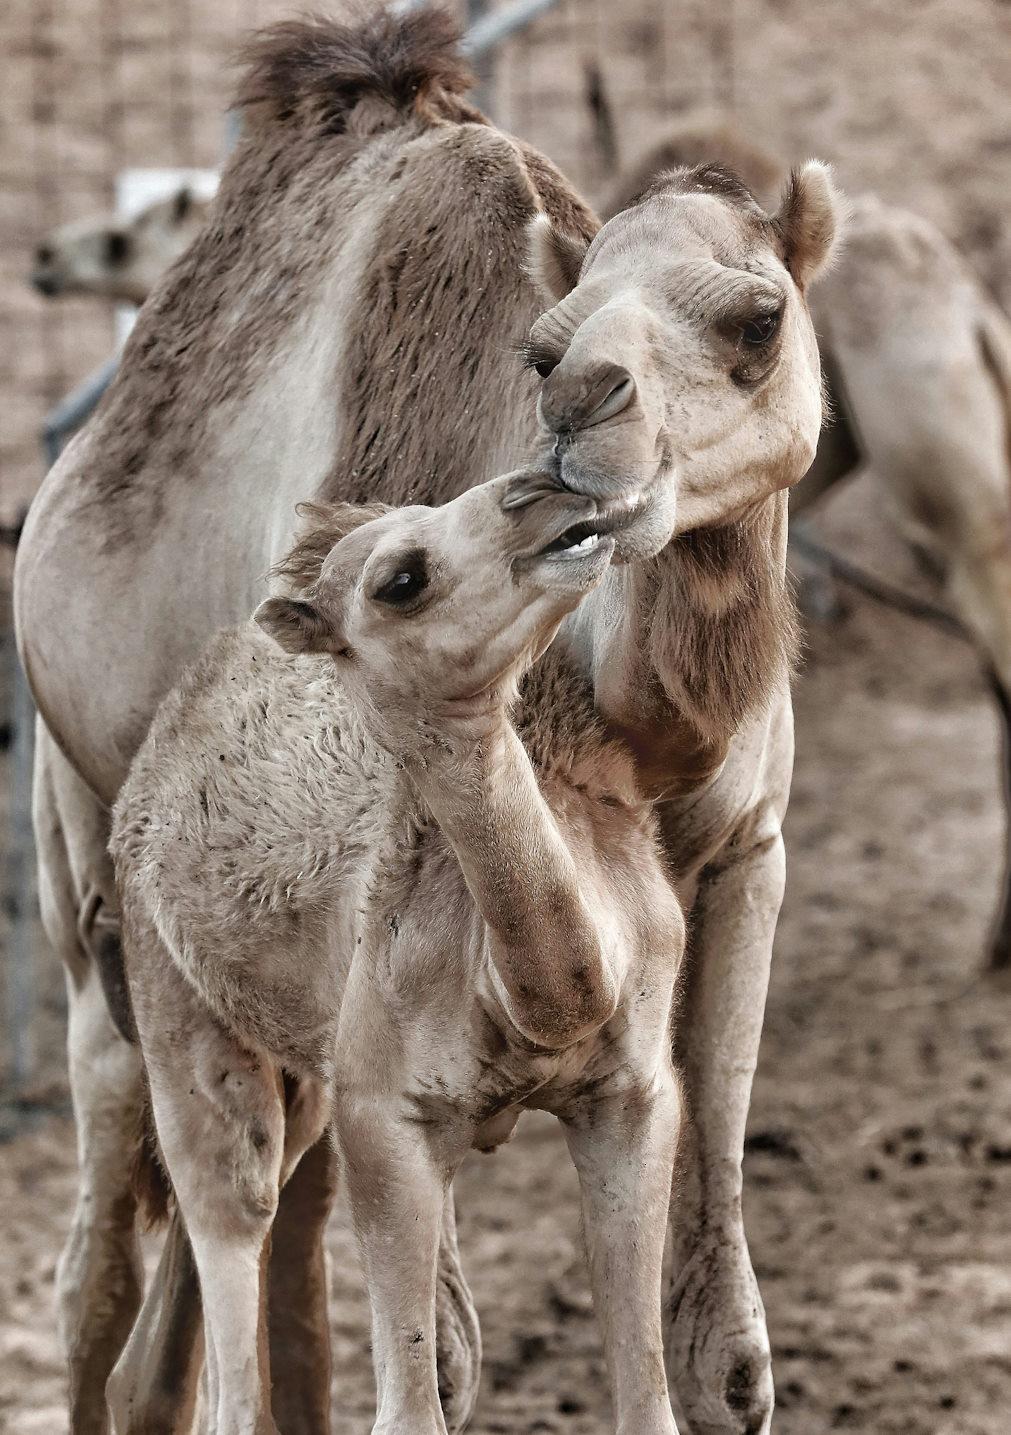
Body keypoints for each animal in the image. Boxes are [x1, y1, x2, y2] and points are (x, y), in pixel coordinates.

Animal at [112, 473, 685, 1435]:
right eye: (400, 580)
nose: (540, 489)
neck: (538, 994)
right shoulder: (382, 1112)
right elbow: (407, 1407)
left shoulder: (635, 1092)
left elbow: (647, 1401)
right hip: (168, 986)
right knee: (233, 1204)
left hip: (306, 1069)